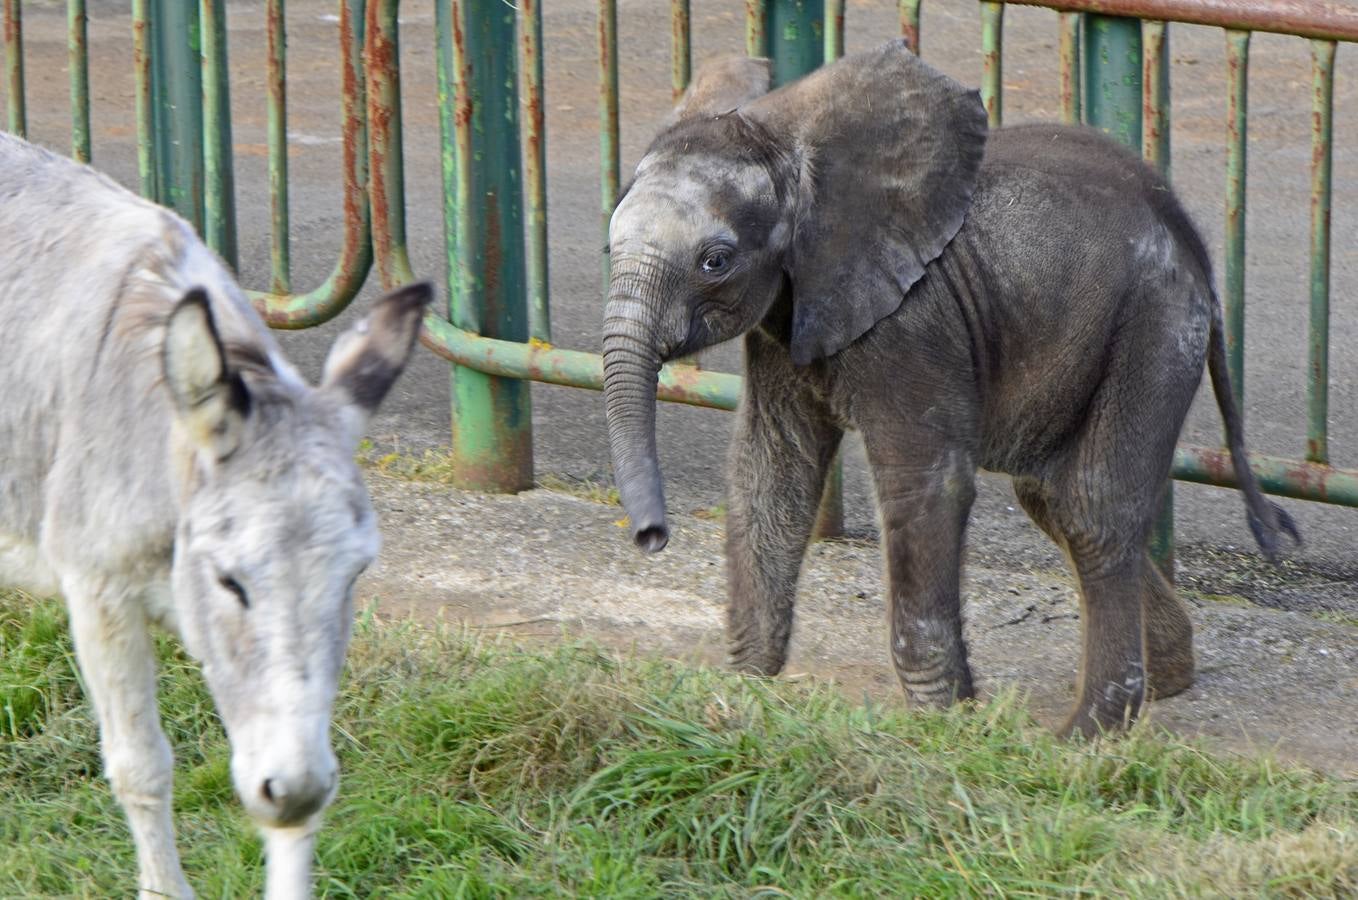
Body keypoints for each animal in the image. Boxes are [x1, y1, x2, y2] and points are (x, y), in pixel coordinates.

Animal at [602, 40, 1292, 738]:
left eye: (715, 261)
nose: (651, 538)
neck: (782, 139)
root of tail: (1193, 245)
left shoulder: (913, 321)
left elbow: (924, 482)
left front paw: (943, 728)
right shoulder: (786, 319)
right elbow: (772, 473)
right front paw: (741, 697)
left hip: (1154, 327)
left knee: (1091, 508)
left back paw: (1082, 737)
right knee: (1050, 498)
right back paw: (1167, 681)